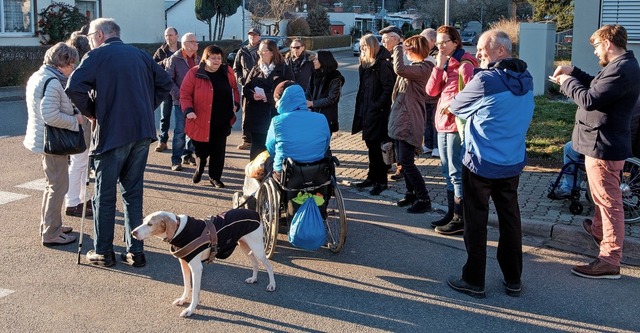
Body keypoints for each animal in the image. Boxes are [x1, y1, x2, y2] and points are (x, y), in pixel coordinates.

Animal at [132, 208, 276, 316]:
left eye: (150, 224)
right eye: (144, 221)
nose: (133, 232)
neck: (180, 230)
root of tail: (254, 212)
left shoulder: (196, 269)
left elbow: (195, 292)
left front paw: (190, 310)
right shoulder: (184, 263)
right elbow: (187, 285)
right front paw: (183, 300)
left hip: (257, 248)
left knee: (268, 266)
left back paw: (272, 285)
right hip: (244, 245)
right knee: (255, 263)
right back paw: (253, 279)